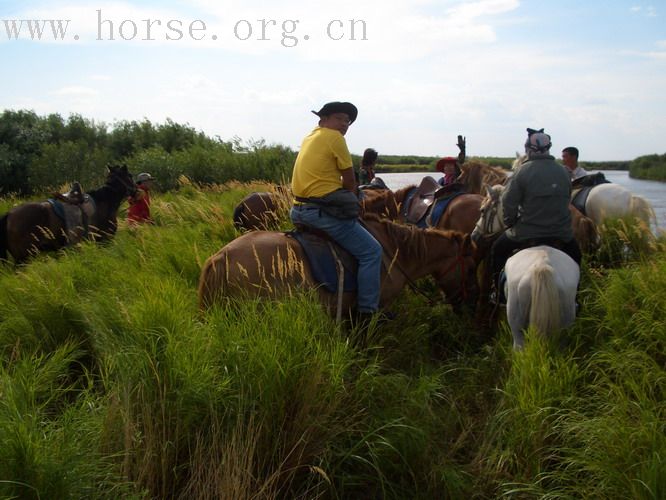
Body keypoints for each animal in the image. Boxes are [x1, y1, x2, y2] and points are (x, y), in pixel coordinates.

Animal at [0, 165, 136, 266]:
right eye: (130, 176)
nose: (136, 190)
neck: (103, 201)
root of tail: (9, 214)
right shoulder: (104, 241)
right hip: (23, 259)